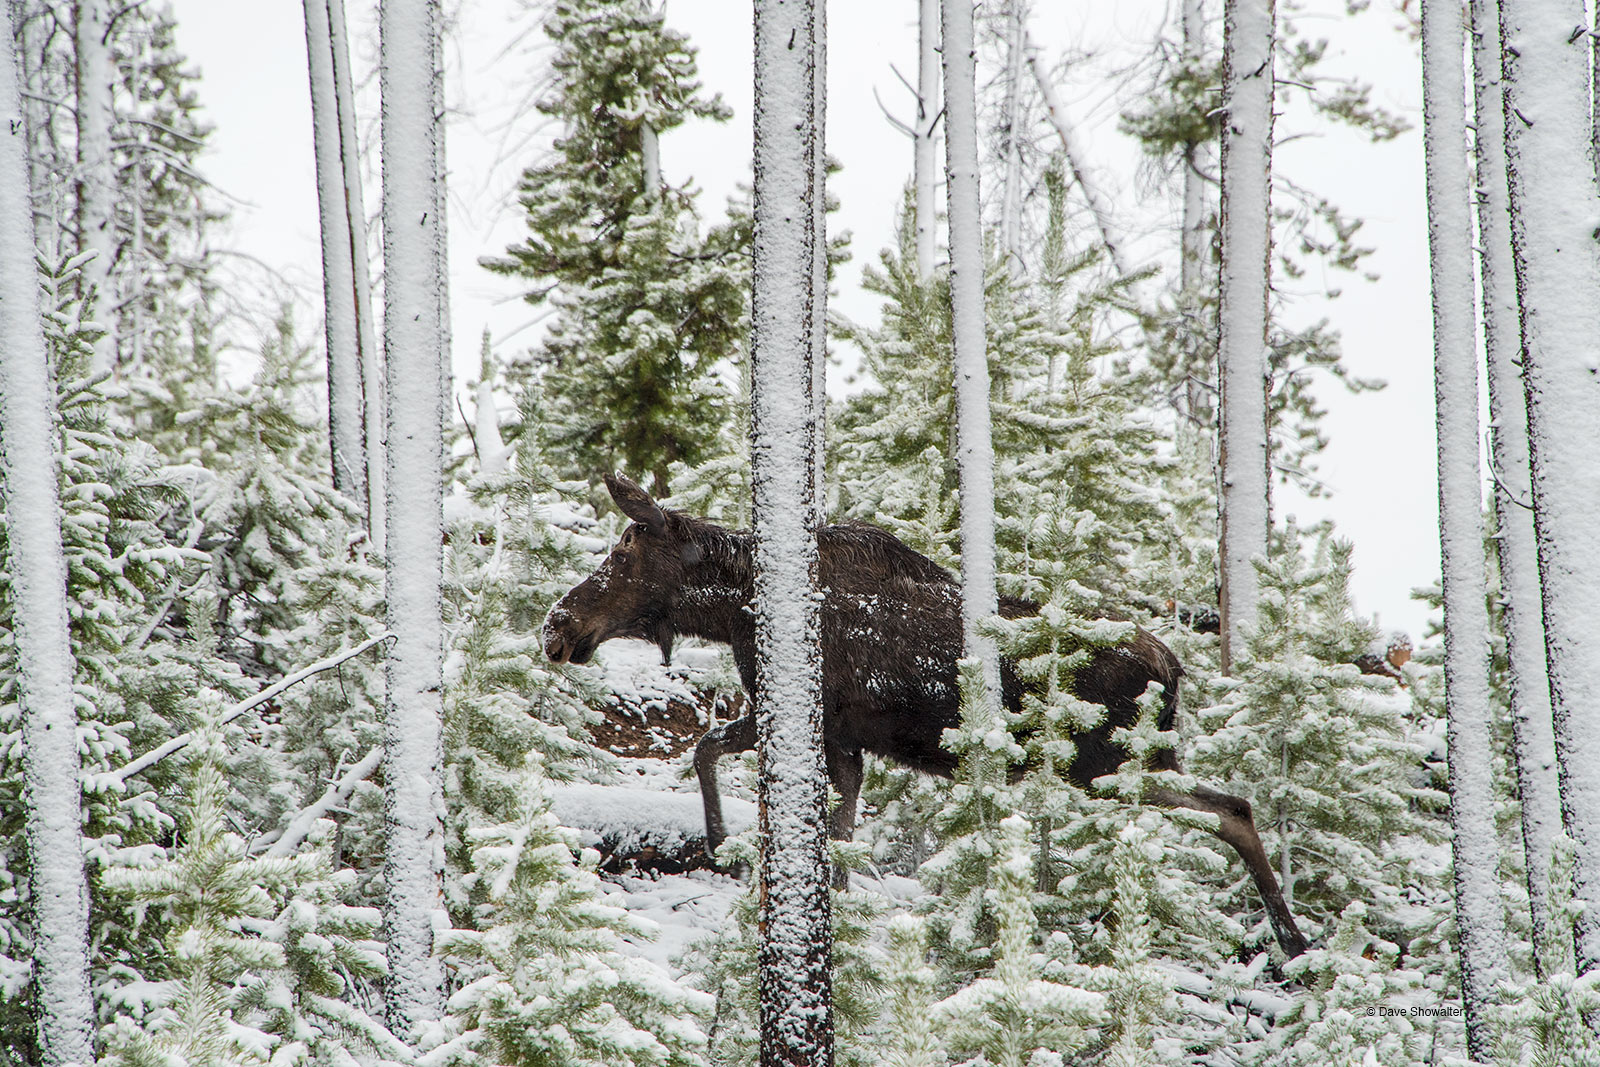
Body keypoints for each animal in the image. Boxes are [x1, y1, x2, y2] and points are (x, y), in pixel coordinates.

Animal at [544, 476, 1305, 959]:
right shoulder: (841, 737)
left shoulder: (807, 717)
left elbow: (712, 755)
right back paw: (1292, 942)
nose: (557, 625)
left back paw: (1288, 937)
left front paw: (721, 842)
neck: (737, 608)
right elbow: (819, 814)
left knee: (1230, 808)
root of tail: (1175, 668)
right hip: (1130, 765)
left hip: (1109, 765)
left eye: (622, 551)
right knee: (1236, 806)